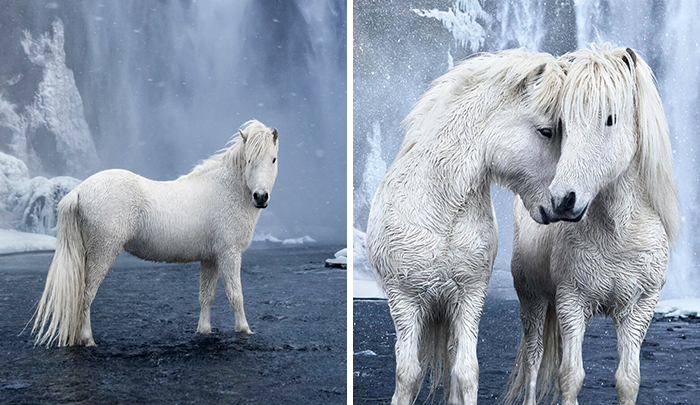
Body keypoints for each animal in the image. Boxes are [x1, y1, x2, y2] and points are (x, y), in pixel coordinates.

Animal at [32, 120, 280, 347]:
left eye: (273, 159)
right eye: (249, 160)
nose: (260, 197)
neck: (225, 189)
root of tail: (79, 191)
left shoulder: (210, 258)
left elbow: (206, 296)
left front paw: (204, 330)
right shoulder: (230, 254)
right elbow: (236, 295)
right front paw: (244, 330)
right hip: (102, 253)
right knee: (86, 295)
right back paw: (88, 340)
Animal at [365, 49, 567, 405]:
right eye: (545, 131)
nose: (563, 203)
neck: (440, 212)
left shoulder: (469, 297)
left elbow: (466, 372)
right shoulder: (404, 301)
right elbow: (408, 375)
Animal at [504, 44, 679, 405]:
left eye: (610, 118)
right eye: (563, 122)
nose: (562, 200)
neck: (619, 235)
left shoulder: (639, 310)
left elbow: (628, 379)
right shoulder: (572, 302)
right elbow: (570, 376)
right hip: (532, 300)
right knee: (533, 357)